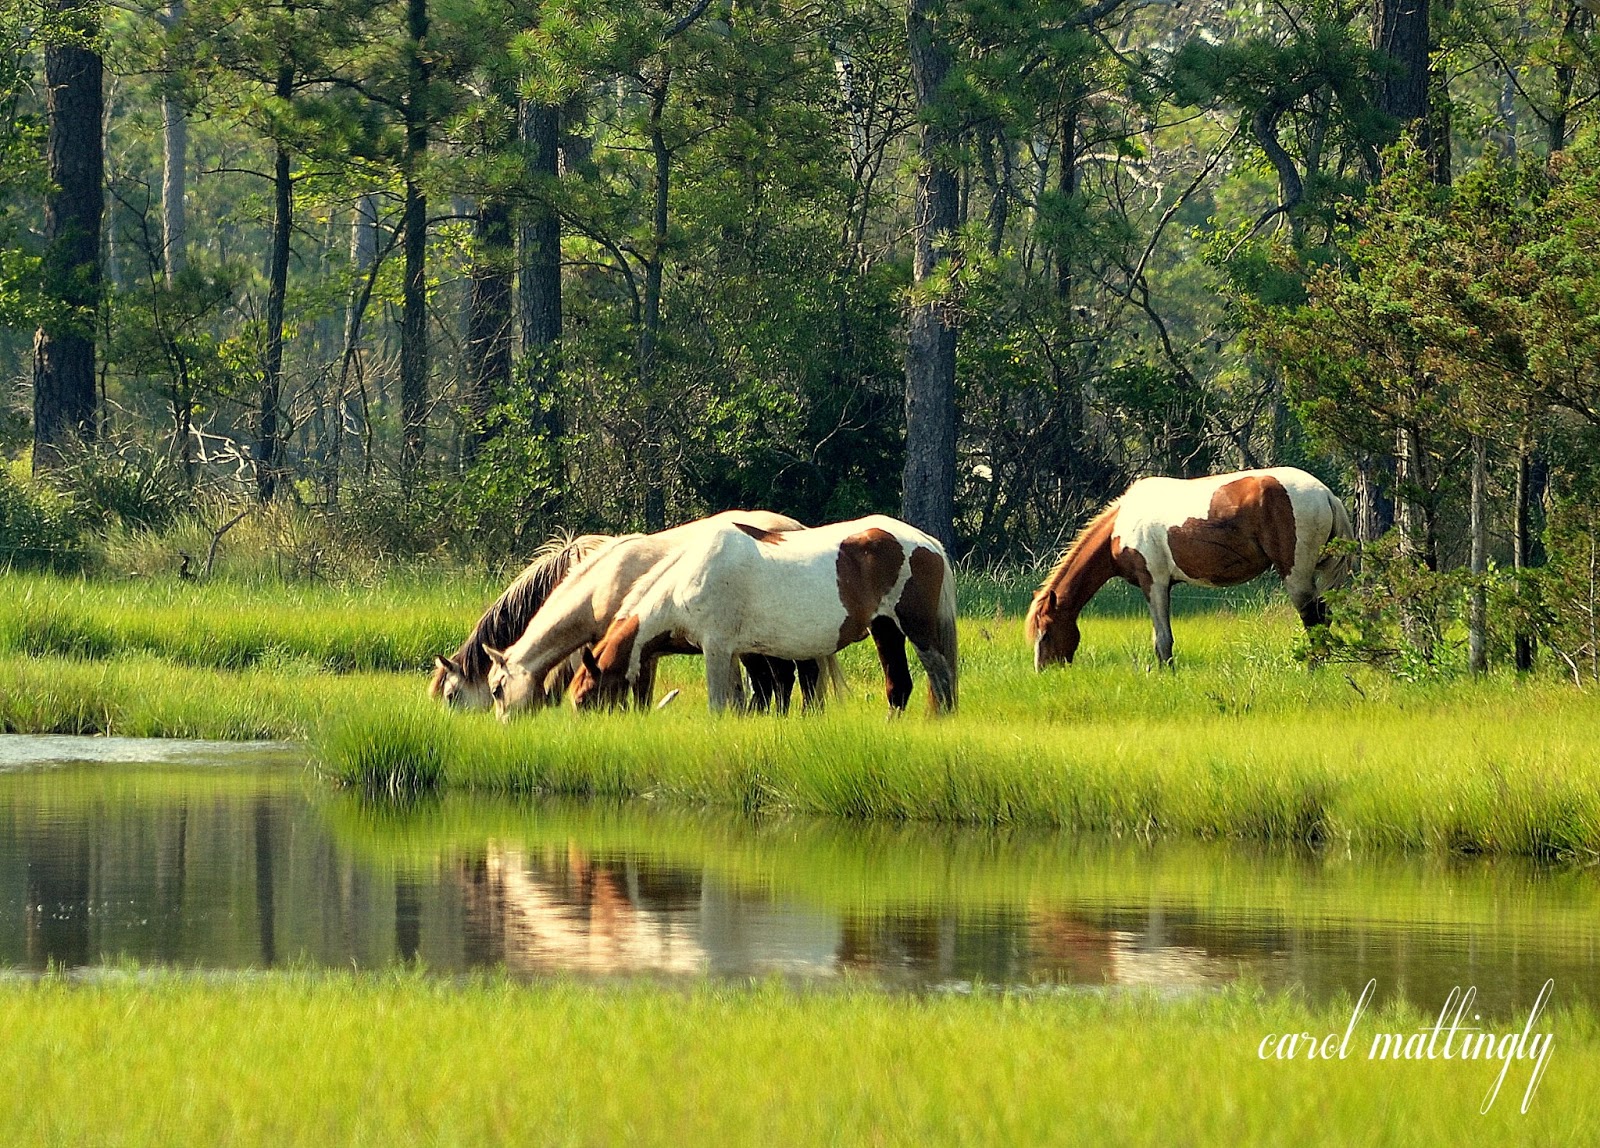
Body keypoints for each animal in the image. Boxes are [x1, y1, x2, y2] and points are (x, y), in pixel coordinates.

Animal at [481, 511, 841, 720]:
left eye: (497, 688)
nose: (504, 725)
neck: (603, 582)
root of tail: (799, 527)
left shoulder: (637, 649)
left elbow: (639, 694)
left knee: (791, 677)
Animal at [565, 515, 958, 715]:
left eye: (585, 699)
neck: (687, 578)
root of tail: (929, 542)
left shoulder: (717, 648)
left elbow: (719, 704)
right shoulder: (743, 651)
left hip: (918, 631)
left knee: (942, 682)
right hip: (885, 629)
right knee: (899, 687)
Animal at [1025, 466, 1354, 669]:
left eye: (1047, 632)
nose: (1045, 672)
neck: (1121, 525)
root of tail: (1326, 494)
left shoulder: (1154, 582)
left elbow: (1162, 640)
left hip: (1296, 575)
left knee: (1314, 621)